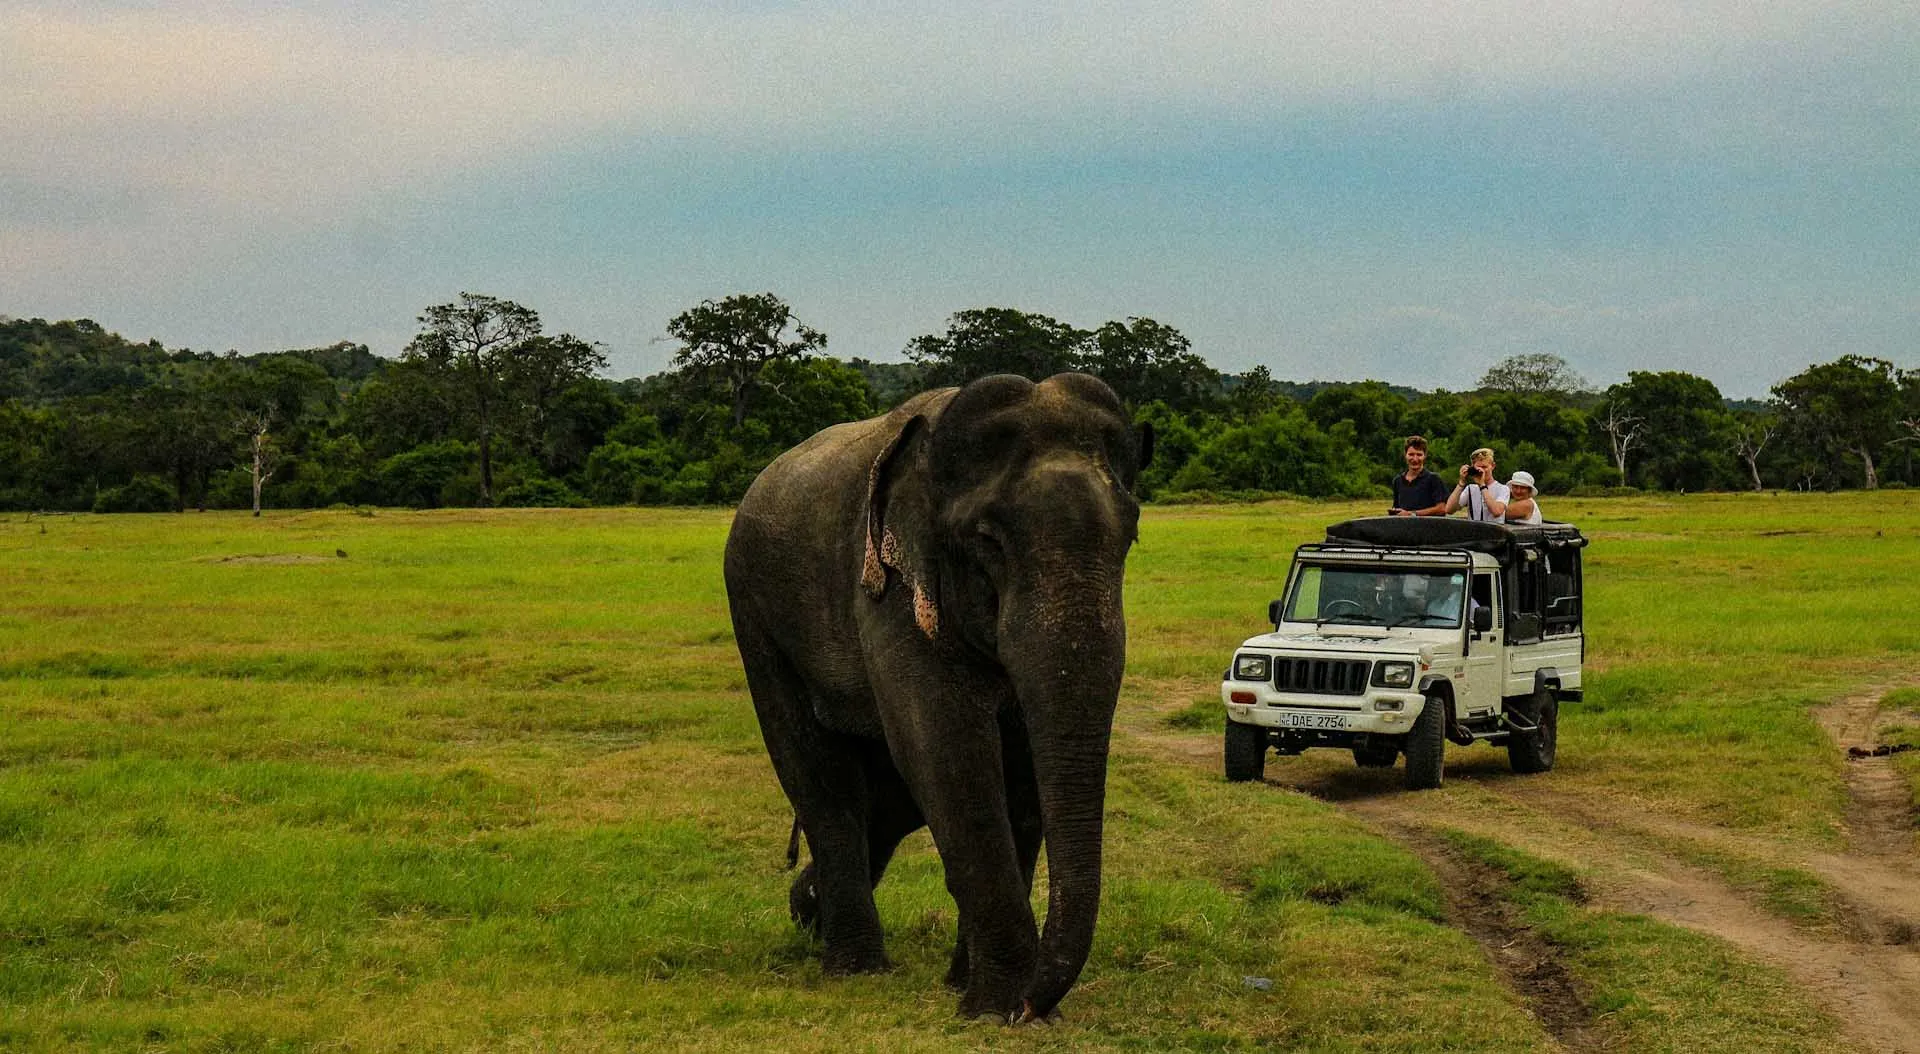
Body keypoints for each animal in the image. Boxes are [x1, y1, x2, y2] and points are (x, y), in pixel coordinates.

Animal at [723, 372, 1150, 1021]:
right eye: (989, 541)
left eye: (1130, 537)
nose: (1035, 1005)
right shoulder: (891, 588)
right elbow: (945, 745)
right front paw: (997, 1009)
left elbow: (1017, 766)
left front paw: (979, 993)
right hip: (754, 615)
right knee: (823, 779)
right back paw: (853, 966)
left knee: (884, 799)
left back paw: (808, 911)